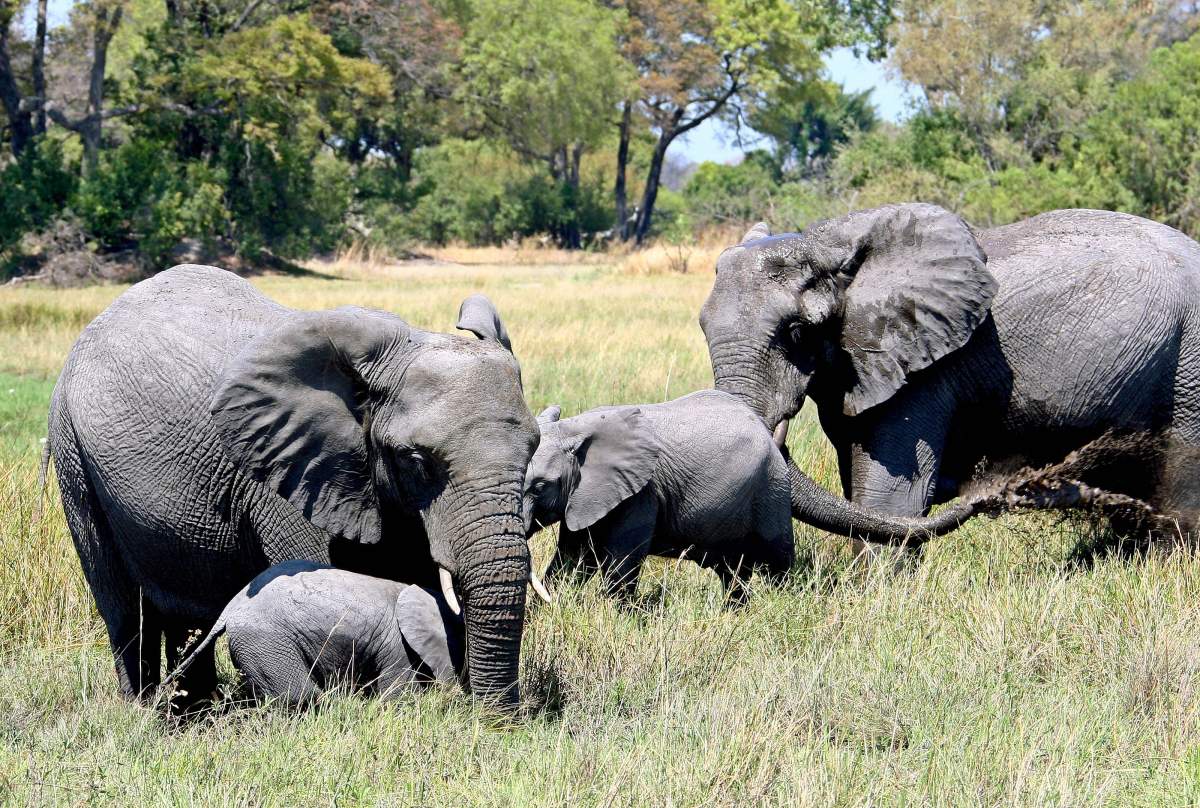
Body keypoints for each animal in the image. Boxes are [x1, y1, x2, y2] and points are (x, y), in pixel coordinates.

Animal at [522, 390, 794, 603]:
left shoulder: (641, 493)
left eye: (540, 487)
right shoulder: (584, 497)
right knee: (733, 571)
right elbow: (573, 557)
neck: (573, 429)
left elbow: (621, 564)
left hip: (772, 488)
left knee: (777, 562)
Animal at [699, 204, 1200, 542]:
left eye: (797, 331)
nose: (1008, 492)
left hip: (1190, 361)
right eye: (703, 327)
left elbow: (889, 497)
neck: (830, 248)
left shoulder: (925, 373)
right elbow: (859, 489)